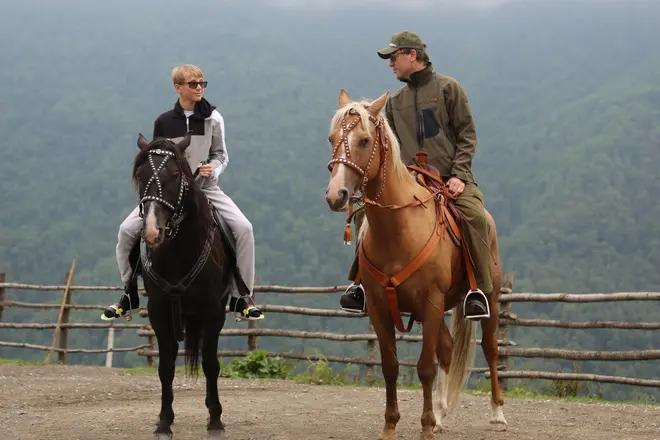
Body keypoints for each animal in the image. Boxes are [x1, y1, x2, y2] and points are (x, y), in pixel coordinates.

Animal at [132, 132, 235, 438]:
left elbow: (211, 363)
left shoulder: (214, 311)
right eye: (140, 174)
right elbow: (166, 366)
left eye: (175, 175)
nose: (152, 230)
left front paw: (215, 419)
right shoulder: (159, 311)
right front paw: (164, 421)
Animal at [324, 90, 506, 440]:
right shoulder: (380, 307)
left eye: (364, 140)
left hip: (487, 298)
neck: (399, 229)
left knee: (490, 350)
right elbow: (391, 366)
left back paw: (497, 413)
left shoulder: (431, 302)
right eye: (331, 138)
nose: (335, 194)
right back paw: (441, 414)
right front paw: (391, 426)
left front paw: (424, 428)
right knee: (446, 350)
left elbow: (424, 368)